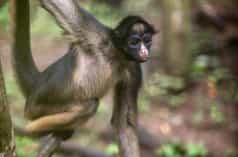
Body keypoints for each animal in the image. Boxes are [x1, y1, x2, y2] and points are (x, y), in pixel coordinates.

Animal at [11, 0, 156, 156]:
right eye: (134, 42)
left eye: (147, 41)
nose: (144, 51)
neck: (117, 54)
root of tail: (38, 81)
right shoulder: (96, 34)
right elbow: (58, 5)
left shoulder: (133, 68)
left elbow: (124, 124)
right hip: (37, 108)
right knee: (91, 104)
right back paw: (31, 130)